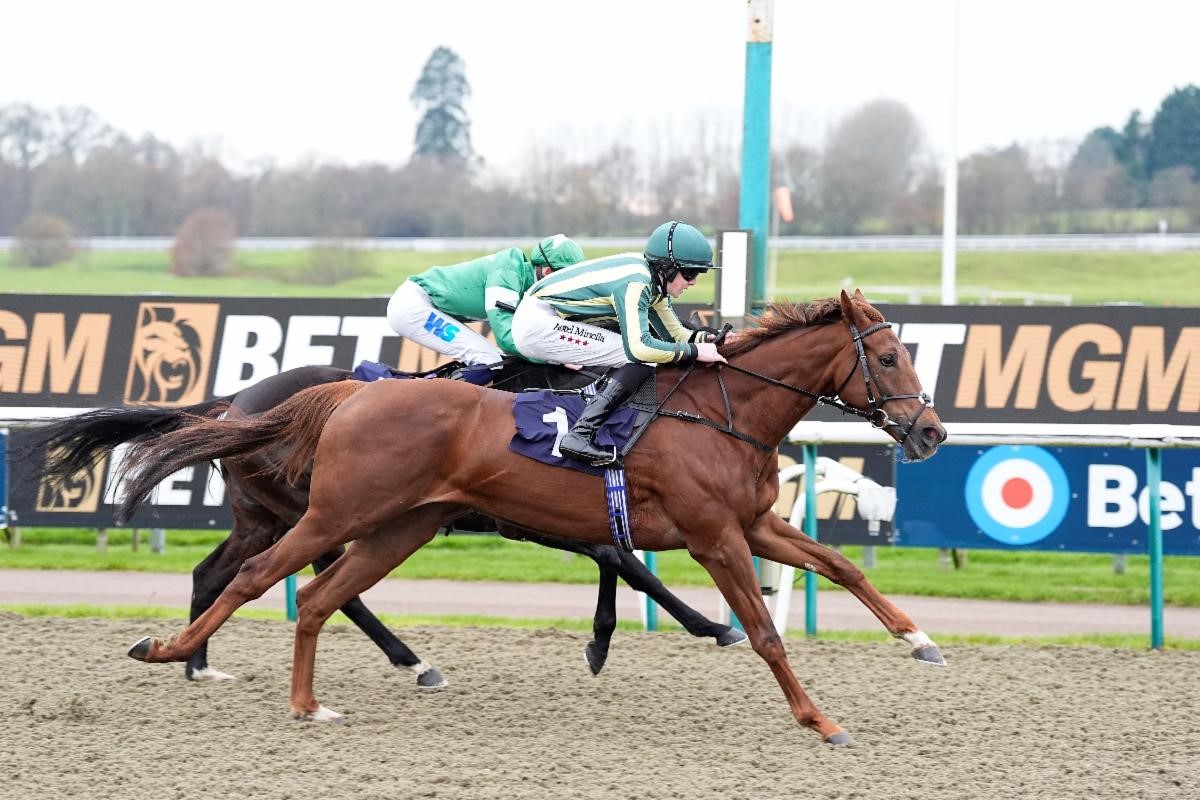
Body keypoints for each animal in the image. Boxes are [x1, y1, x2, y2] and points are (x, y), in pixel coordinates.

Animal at [119, 291, 945, 748]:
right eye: (891, 360)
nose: (932, 432)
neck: (721, 412)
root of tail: (351, 394)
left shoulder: (753, 523)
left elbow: (841, 564)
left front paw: (920, 640)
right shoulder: (714, 536)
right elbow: (766, 632)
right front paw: (820, 720)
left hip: (400, 526)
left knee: (319, 595)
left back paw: (310, 701)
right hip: (334, 512)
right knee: (259, 577)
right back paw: (173, 651)